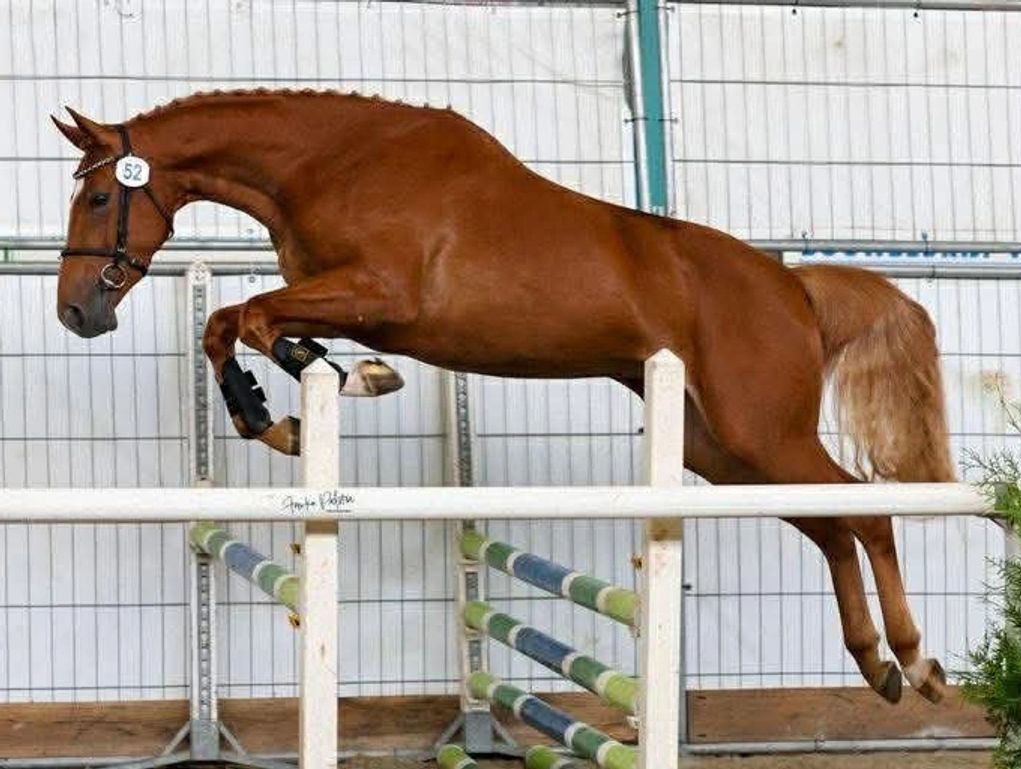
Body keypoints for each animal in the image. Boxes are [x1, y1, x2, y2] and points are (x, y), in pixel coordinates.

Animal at [53, 89, 955, 704]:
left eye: (98, 197)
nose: (77, 312)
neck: (332, 163)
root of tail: (791, 285)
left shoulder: (381, 297)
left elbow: (253, 317)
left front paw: (342, 377)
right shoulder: (336, 295)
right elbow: (227, 323)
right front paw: (285, 412)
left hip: (760, 431)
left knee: (866, 514)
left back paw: (914, 659)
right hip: (723, 451)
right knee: (831, 527)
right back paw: (874, 663)